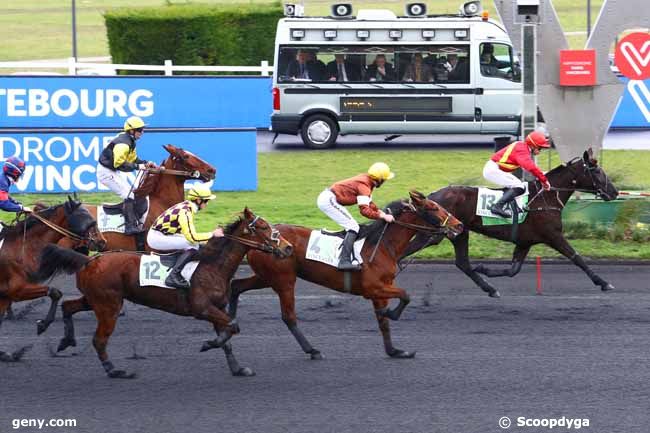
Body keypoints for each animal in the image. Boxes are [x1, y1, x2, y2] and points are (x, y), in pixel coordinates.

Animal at [0, 197, 105, 362]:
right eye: (88, 219)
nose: (101, 242)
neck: (22, 246)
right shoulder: (16, 290)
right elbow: (55, 292)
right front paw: (43, 324)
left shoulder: (5, 295)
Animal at [32, 208, 292, 376]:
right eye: (262, 226)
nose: (288, 248)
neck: (212, 265)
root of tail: (89, 260)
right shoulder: (202, 309)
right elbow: (233, 327)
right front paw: (208, 344)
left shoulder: (216, 309)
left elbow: (228, 334)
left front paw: (237, 368)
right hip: (109, 305)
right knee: (99, 339)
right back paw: (114, 370)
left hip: (94, 299)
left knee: (69, 306)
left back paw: (64, 339)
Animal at [228, 191, 460, 360]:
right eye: (433, 207)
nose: (459, 225)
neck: (382, 245)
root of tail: (258, 244)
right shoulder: (374, 288)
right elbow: (405, 295)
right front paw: (392, 313)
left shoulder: (381, 290)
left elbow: (383, 323)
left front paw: (395, 350)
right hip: (284, 280)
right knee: (289, 316)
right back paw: (312, 350)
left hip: (266, 277)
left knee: (236, 286)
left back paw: (230, 323)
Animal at [400, 148, 616, 296]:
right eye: (597, 171)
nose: (613, 192)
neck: (545, 198)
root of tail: (431, 197)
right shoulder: (553, 235)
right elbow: (577, 257)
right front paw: (603, 282)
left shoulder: (524, 242)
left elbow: (513, 270)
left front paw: (484, 268)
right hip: (432, 235)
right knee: (403, 253)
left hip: (459, 232)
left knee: (463, 263)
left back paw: (489, 288)